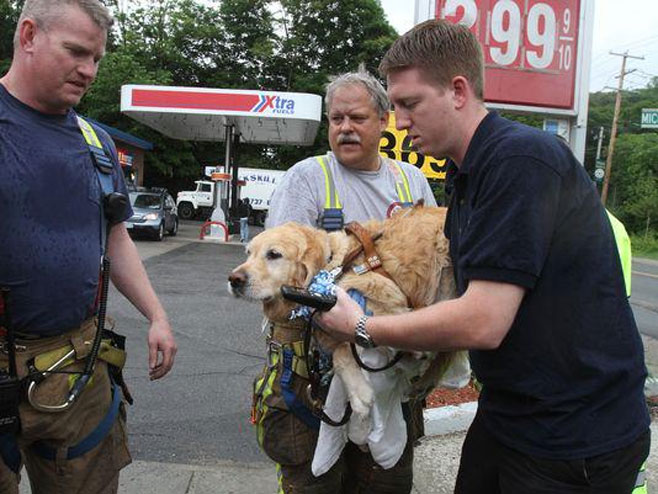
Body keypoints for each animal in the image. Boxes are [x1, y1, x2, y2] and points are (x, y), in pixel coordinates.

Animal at [228, 203, 458, 442]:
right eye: (248, 253)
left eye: (274, 254)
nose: (234, 279)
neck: (333, 265)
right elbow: (340, 352)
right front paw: (359, 392)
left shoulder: (387, 299)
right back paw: (423, 384)